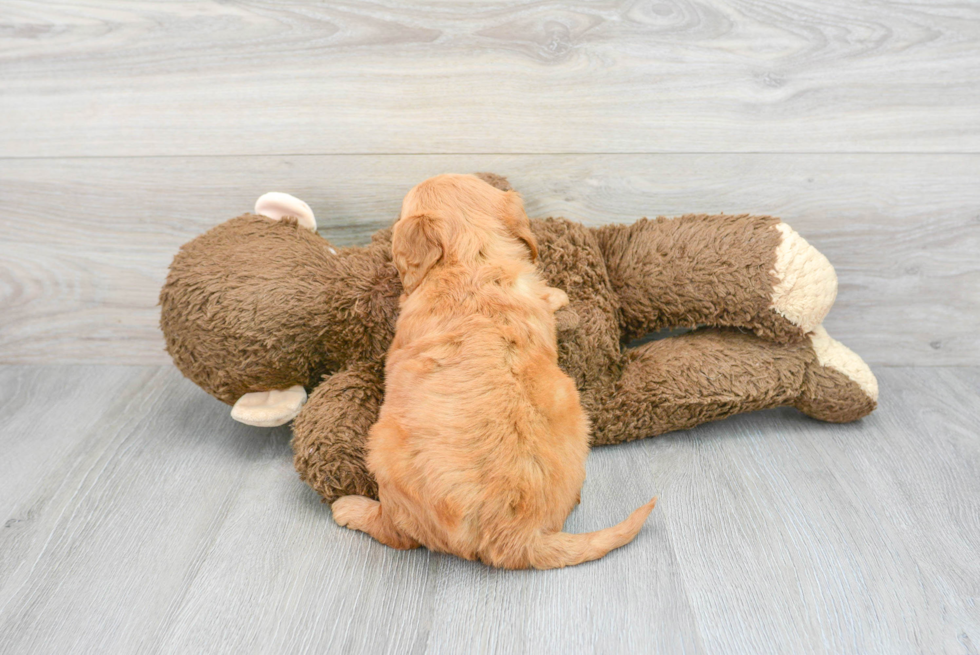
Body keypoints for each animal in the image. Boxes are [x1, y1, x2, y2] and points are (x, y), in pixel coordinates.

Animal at [332, 174, 660, 568]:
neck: (475, 259)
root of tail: (523, 537)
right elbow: (547, 296)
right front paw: (558, 296)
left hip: (384, 449)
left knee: (399, 534)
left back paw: (349, 508)